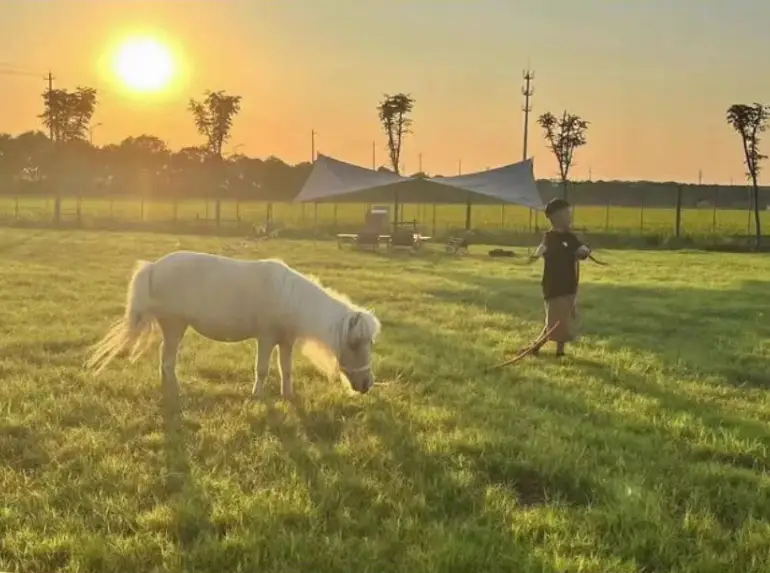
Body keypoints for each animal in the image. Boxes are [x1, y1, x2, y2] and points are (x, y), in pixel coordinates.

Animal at [85, 250, 380, 398]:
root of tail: (153, 267)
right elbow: (262, 369)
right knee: (168, 360)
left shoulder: (285, 341)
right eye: (355, 344)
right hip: (175, 326)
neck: (289, 298)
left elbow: (286, 369)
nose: (367, 384)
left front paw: (288, 396)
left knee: (164, 359)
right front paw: (257, 396)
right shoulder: (266, 338)